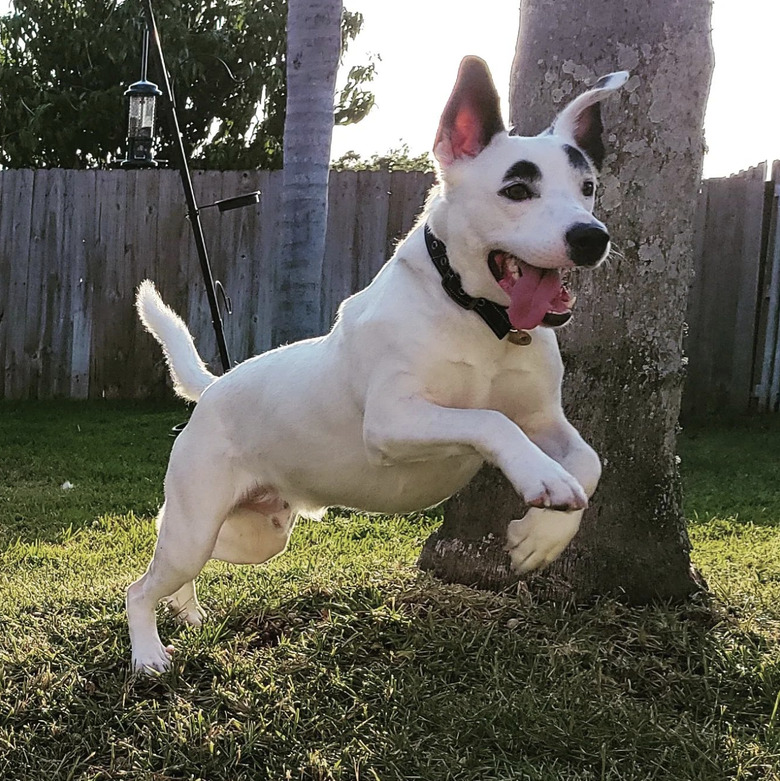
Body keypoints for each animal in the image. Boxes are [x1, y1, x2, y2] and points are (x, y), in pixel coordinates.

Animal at [128, 59, 628, 672]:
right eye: (516, 189)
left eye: (588, 188)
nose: (591, 237)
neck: (480, 317)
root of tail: (216, 387)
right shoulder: (393, 421)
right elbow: (487, 420)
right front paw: (540, 478)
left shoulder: (543, 420)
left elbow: (588, 461)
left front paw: (541, 535)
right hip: (197, 526)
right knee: (140, 584)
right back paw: (148, 653)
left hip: (253, 536)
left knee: (176, 563)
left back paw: (186, 610)